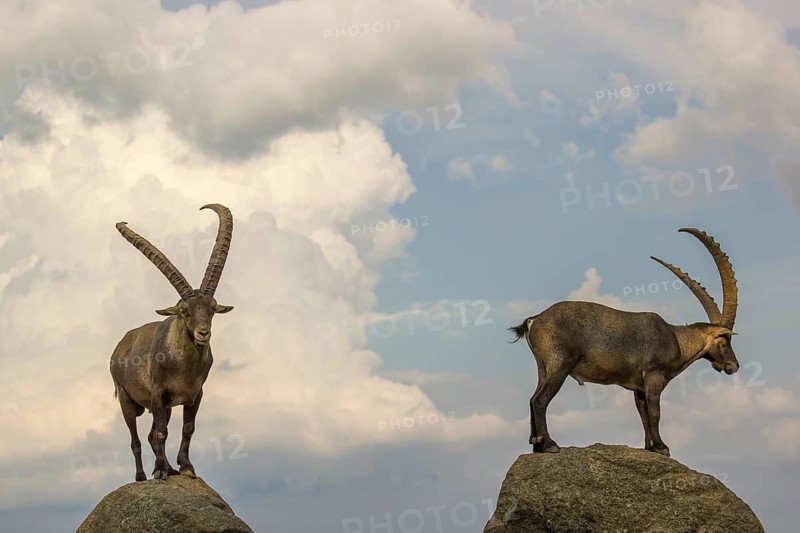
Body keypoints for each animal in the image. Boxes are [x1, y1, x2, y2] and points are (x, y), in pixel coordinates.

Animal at [110, 204, 234, 481]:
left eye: (211, 308)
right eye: (184, 310)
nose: (203, 333)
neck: (183, 367)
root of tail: (119, 346)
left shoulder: (194, 394)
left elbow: (188, 428)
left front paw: (185, 466)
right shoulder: (158, 393)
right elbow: (161, 433)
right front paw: (160, 470)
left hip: (164, 406)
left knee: (149, 435)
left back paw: (169, 468)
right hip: (126, 398)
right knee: (137, 439)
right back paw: (143, 475)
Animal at [509, 228, 739, 457]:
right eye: (724, 340)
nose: (733, 366)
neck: (675, 339)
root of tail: (533, 320)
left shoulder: (639, 385)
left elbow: (643, 413)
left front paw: (650, 446)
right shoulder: (654, 375)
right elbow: (655, 412)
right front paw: (662, 447)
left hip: (543, 367)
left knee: (532, 398)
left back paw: (537, 444)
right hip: (560, 364)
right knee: (540, 400)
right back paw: (549, 444)